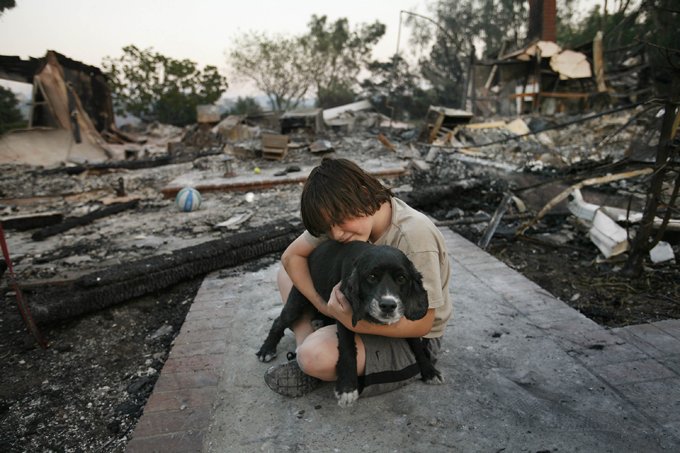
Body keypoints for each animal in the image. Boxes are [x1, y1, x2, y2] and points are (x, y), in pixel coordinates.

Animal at [258, 240, 444, 406]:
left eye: (401, 278)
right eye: (371, 277)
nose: (388, 305)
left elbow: (417, 345)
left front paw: (429, 371)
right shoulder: (342, 314)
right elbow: (347, 349)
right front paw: (347, 388)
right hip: (298, 299)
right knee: (279, 321)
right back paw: (266, 349)